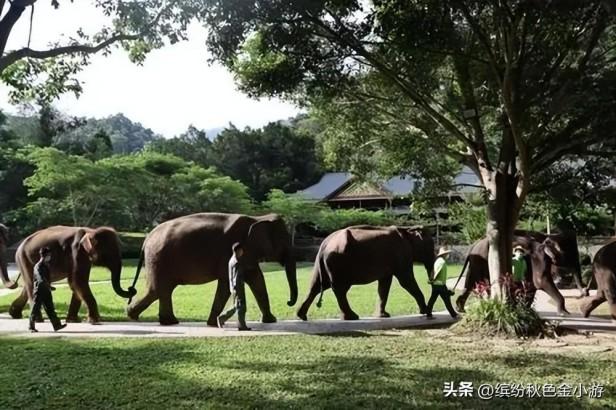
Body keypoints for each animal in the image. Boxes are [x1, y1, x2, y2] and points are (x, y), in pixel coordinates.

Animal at [7, 224, 135, 324]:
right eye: (108, 255)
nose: (131, 289)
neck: (91, 231)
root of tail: (19, 246)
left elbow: (75, 284)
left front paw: (73, 320)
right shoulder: (77, 251)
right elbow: (78, 281)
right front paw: (95, 321)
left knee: (32, 285)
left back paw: (14, 314)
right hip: (25, 260)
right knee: (32, 285)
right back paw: (38, 320)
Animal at [126, 213, 298, 326]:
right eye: (284, 241)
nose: (289, 302)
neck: (257, 218)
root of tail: (146, 238)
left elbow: (257, 280)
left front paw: (270, 321)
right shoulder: (229, 253)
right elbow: (226, 285)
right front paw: (213, 324)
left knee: (160, 291)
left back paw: (153, 319)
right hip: (158, 260)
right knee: (158, 289)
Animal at [298, 226, 434, 322]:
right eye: (431, 247)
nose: (429, 313)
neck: (407, 230)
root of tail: (324, 243)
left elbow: (384, 284)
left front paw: (383, 316)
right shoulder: (402, 255)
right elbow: (406, 280)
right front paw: (425, 311)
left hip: (324, 265)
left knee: (316, 286)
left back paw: (301, 316)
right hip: (338, 263)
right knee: (339, 288)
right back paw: (352, 317)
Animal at [454, 229, 584, 312]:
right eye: (570, 253)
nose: (584, 293)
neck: (548, 235)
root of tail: (473, 245)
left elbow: (532, 286)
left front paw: (526, 309)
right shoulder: (539, 258)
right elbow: (541, 282)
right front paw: (565, 313)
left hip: (477, 261)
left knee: (470, 280)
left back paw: (460, 308)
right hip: (481, 260)